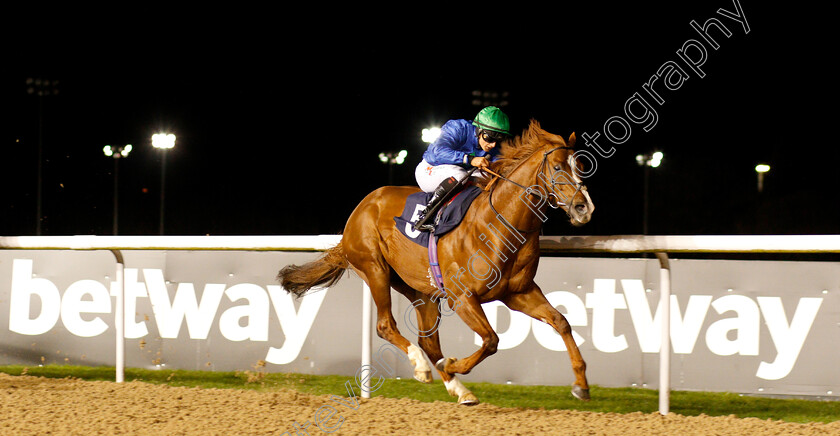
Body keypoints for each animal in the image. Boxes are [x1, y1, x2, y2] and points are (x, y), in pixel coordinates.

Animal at [278, 120, 592, 406]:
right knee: (386, 325)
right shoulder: (462, 297)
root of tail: (362, 207)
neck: (499, 223)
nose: (584, 207)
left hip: (421, 291)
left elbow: (561, 322)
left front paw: (581, 384)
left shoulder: (519, 292)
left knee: (428, 341)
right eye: (557, 168)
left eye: (579, 165)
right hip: (374, 268)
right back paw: (422, 367)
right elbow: (491, 340)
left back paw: (460, 390)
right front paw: (452, 364)